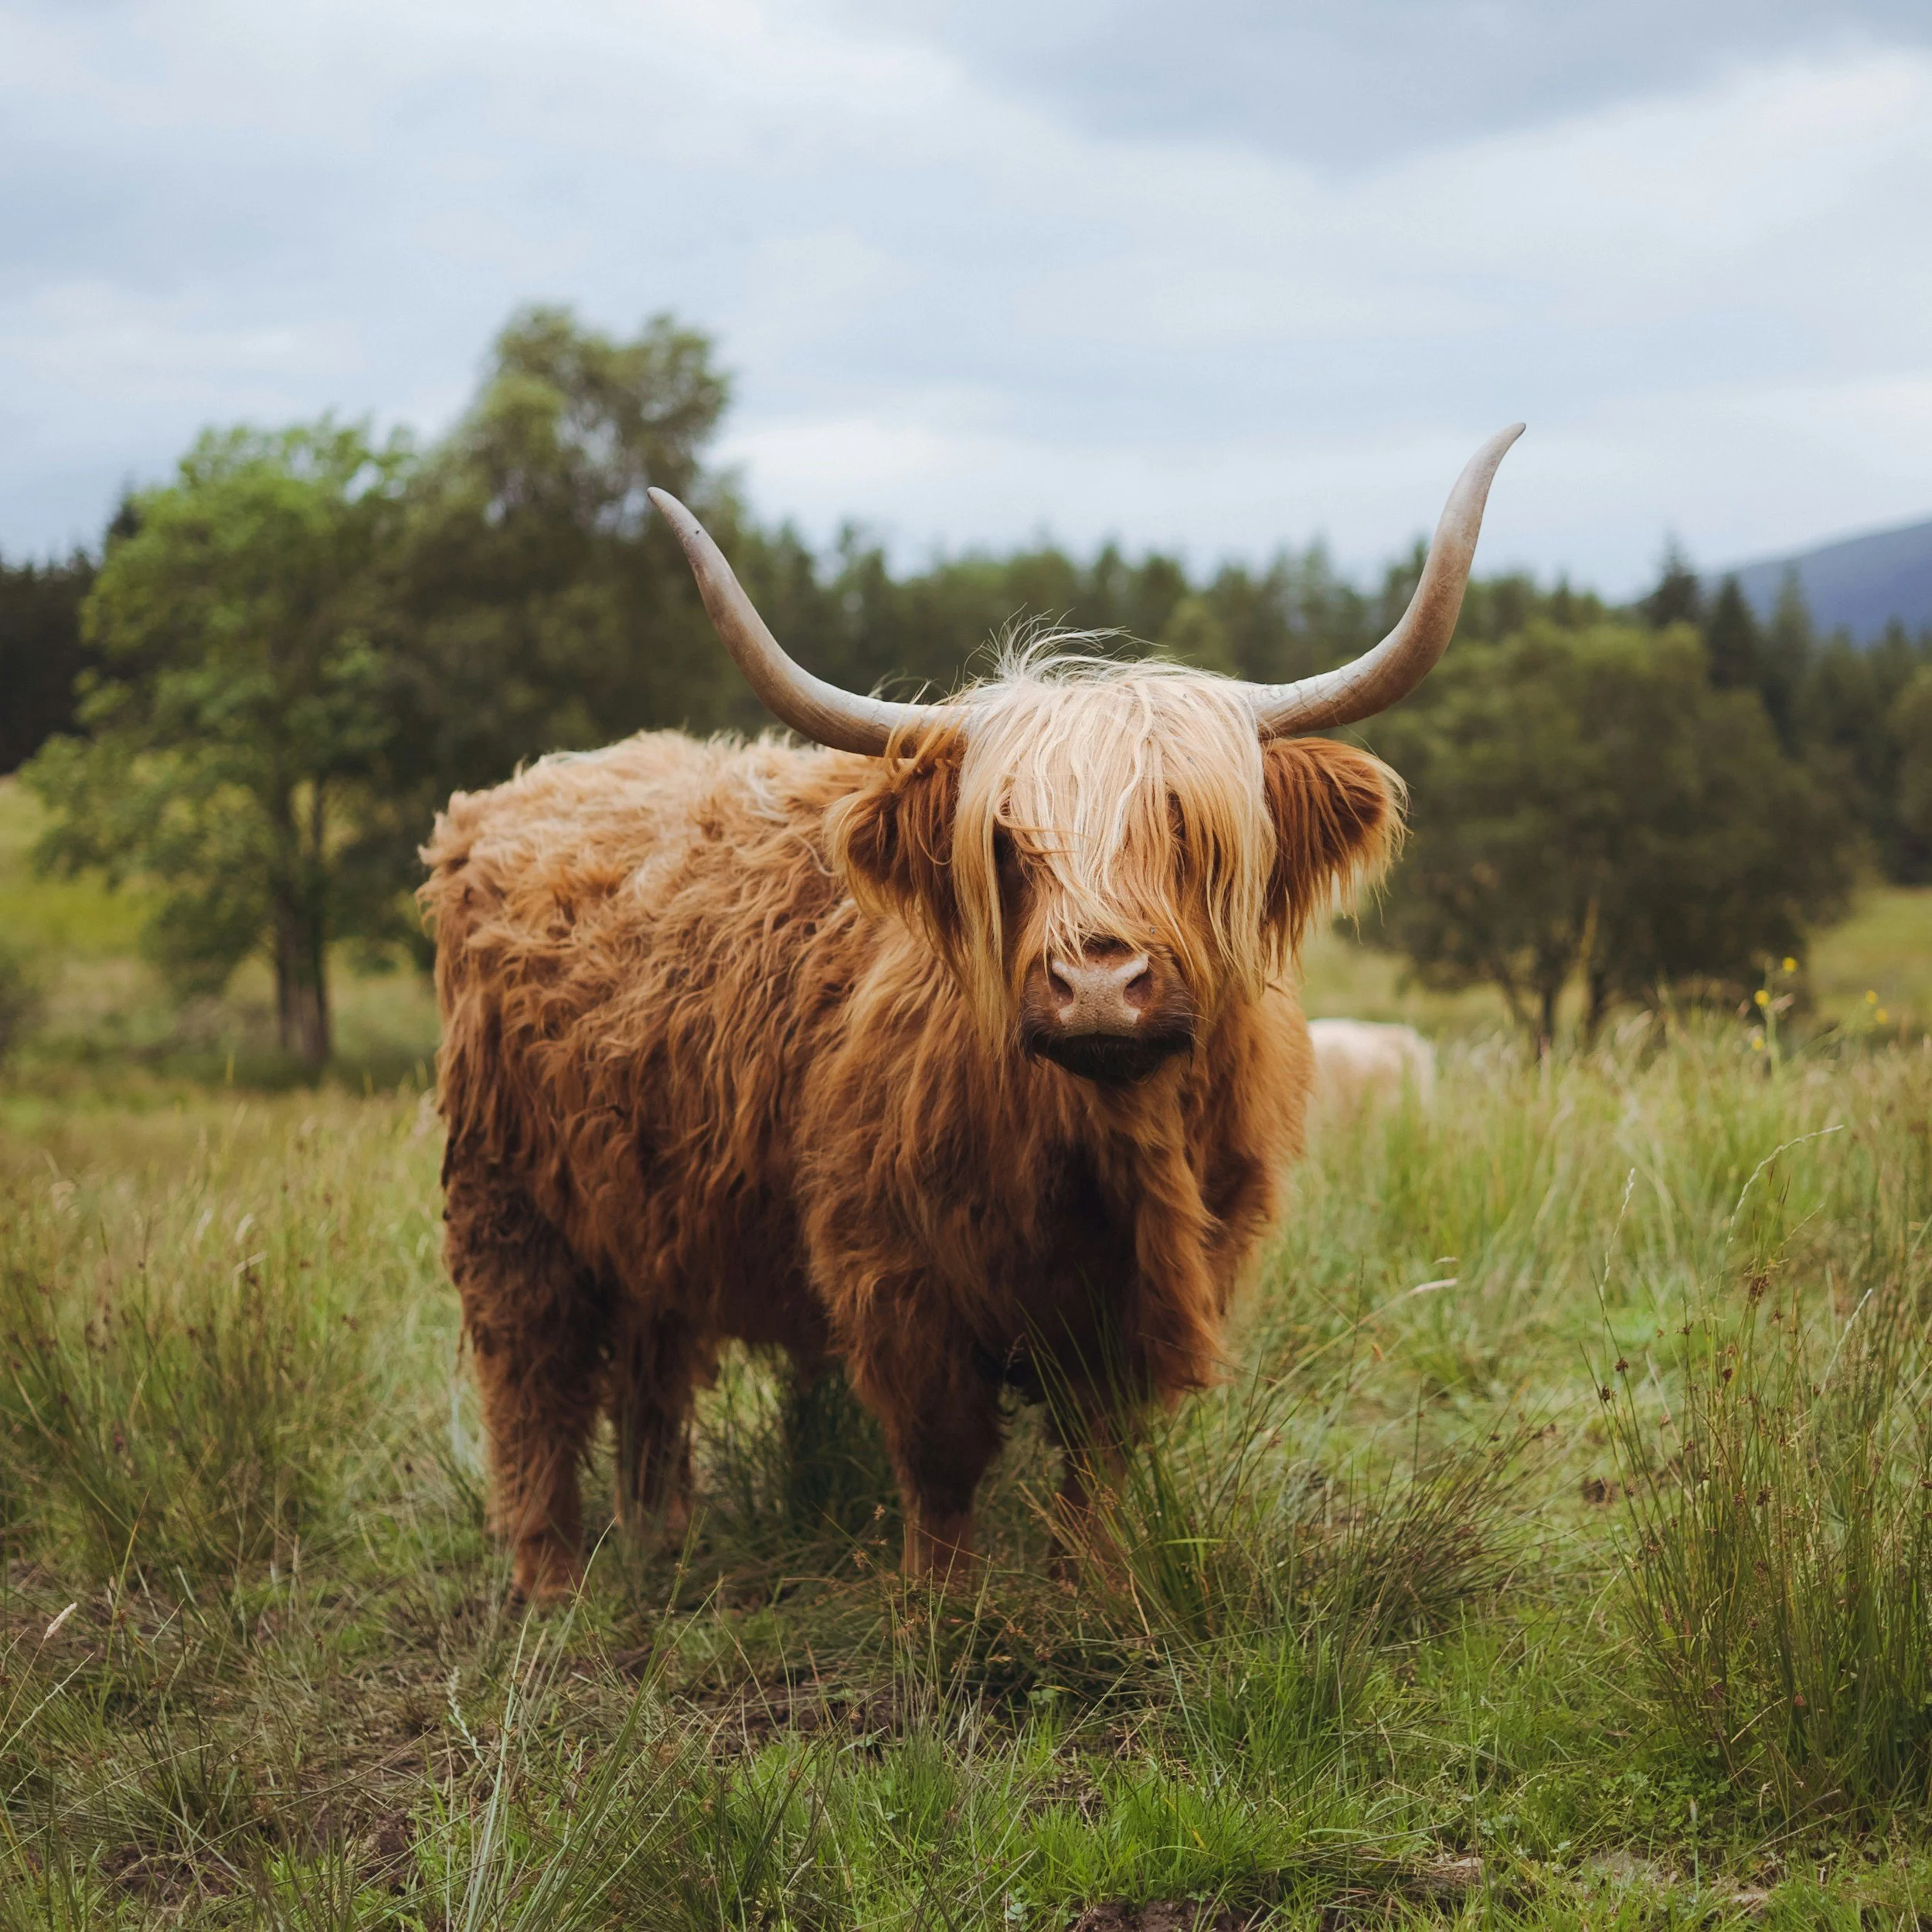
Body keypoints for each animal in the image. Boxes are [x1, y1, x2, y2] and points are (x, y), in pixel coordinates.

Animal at [421, 426, 1521, 1600]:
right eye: (1004, 839)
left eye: (1187, 826)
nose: (1098, 985)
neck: (1102, 1152)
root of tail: (522, 791)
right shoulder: (896, 1276)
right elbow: (942, 1460)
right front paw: (944, 1613)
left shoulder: (1154, 1293)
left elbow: (1097, 1461)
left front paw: (1095, 1589)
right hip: (507, 1202)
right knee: (530, 1380)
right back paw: (549, 1583)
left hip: (646, 1205)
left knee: (652, 1365)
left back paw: (659, 1541)